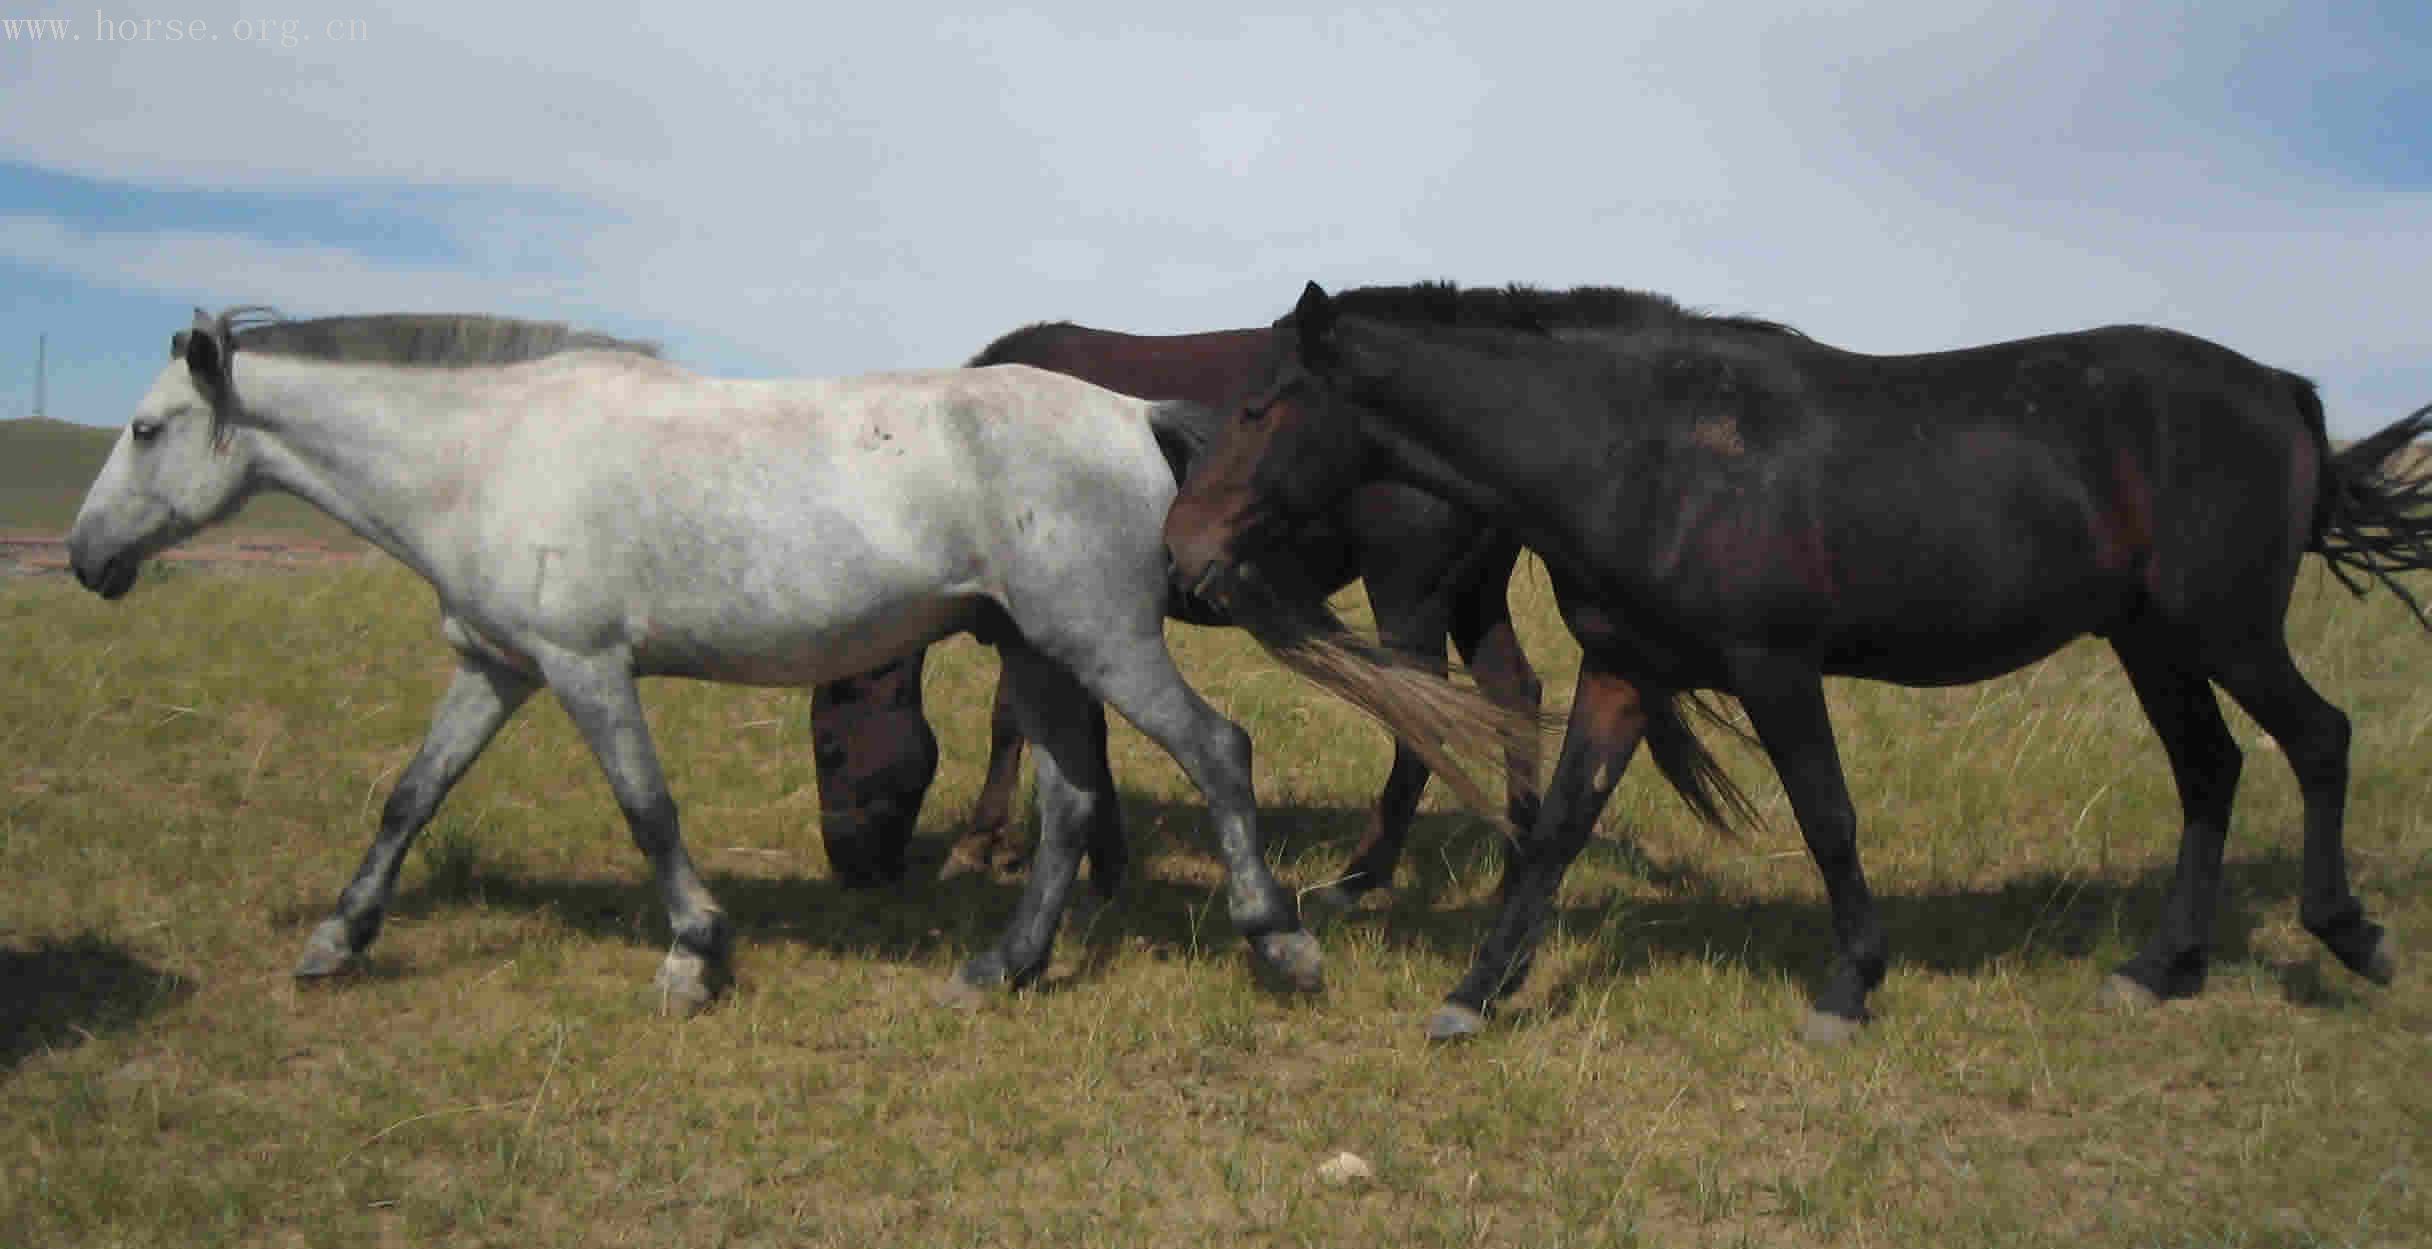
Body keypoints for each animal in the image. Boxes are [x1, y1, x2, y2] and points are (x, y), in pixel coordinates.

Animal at [71, 306, 1332, 1006]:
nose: (86, 557)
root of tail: (1131, 417)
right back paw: (999, 970)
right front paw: (337, 938)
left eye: (144, 429)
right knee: (1067, 802)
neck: (490, 453)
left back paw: (1277, 941)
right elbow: (410, 796)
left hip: (1099, 641)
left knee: (1217, 749)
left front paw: (693, 955)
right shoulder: (497, 667)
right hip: (1037, 652)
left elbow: (647, 808)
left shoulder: (582, 667)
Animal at [812, 315, 1537, 899]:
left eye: (828, 749)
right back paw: (1518, 856)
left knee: (1423, 721)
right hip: (1473, 595)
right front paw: (1099, 858)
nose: (851, 871)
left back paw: (1364, 874)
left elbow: (1012, 720)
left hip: (1411, 592)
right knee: (1513, 695)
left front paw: (984, 842)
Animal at [1167, 279, 2422, 1040]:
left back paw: (2348, 936)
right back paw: (2163, 966)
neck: (1643, 450)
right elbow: (1559, 829)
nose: (1182, 552)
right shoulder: (1624, 673)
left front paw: (1847, 985)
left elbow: (1826, 818)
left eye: (1261, 406)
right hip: (2150, 639)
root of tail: (2283, 392)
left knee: (2315, 737)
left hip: (2223, 629)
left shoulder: (1775, 669)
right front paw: (1475, 991)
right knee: (2210, 769)